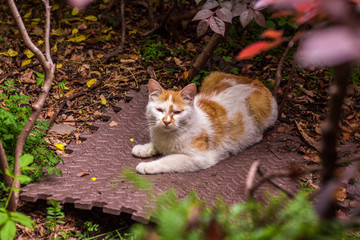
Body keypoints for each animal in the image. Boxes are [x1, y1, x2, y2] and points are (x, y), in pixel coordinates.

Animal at [132, 71, 278, 174]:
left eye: (178, 112)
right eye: (159, 110)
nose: (166, 121)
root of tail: (256, 81)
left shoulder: (200, 158)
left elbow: (168, 160)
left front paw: (148, 166)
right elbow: (157, 145)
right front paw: (144, 148)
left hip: (259, 104)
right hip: (211, 77)